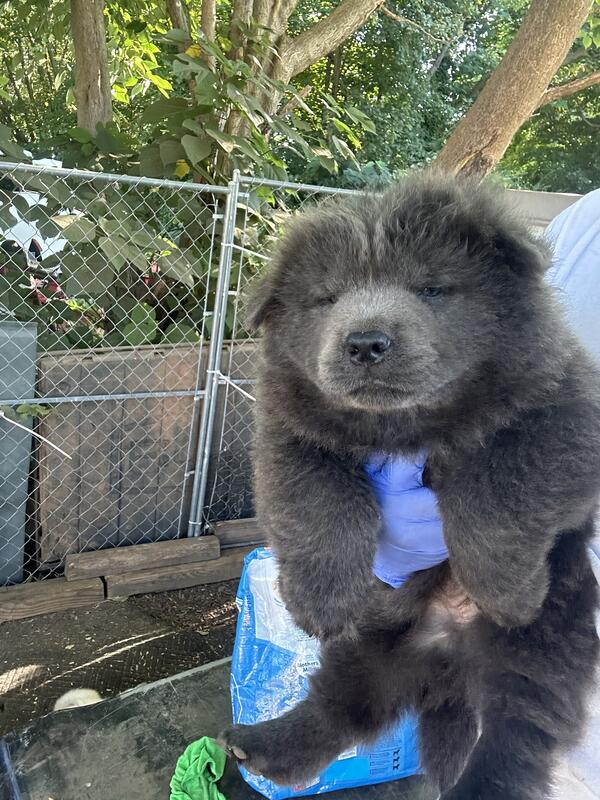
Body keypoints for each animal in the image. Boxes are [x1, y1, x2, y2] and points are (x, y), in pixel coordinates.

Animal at [219, 174, 600, 799]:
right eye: (327, 298)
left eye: (432, 289)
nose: (365, 343)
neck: (406, 425)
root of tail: (447, 660)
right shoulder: (290, 434)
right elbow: (318, 501)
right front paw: (319, 601)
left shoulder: (566, 416)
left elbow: (496, 486)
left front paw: (505, 590)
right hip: (374, 644)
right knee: (342, 705)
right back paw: (261, 744)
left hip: (543, 645)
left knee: (515, 734)